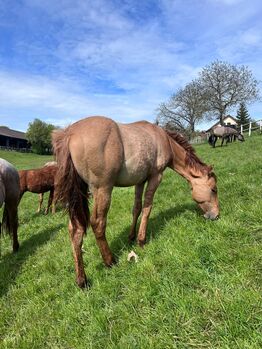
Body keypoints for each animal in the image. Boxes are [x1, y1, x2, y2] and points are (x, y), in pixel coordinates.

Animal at [52, 115, 219, 286]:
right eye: (214, 189)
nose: (216, 215)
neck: (164, 139)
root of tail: (70, 133)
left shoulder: (140, 181)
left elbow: (137, 208)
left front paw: (131, 236)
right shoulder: (155, 177)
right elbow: (147, 208)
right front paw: (141, 240)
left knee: (75, 230)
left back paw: (82, 280)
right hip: (102, 189)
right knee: (98, 223)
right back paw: (110, 261)